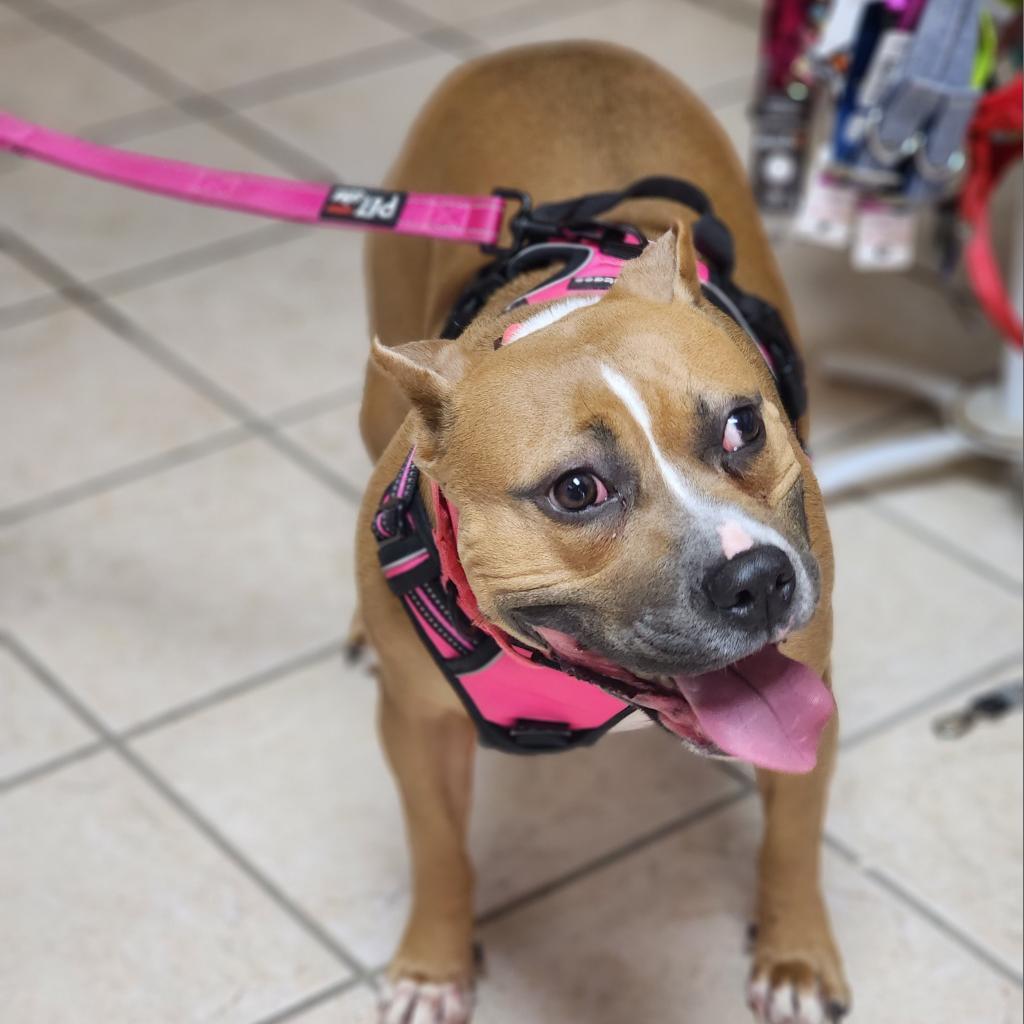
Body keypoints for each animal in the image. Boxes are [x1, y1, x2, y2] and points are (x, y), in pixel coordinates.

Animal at [352, 41, 847, 1024]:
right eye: (577, 490)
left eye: (744, 426)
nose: (758, 579)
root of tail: (546, 47)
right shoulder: (416, 726)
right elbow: (437, 849)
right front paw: (434, 964)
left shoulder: (812, 686)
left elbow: (793, 838)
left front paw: (795, 954)